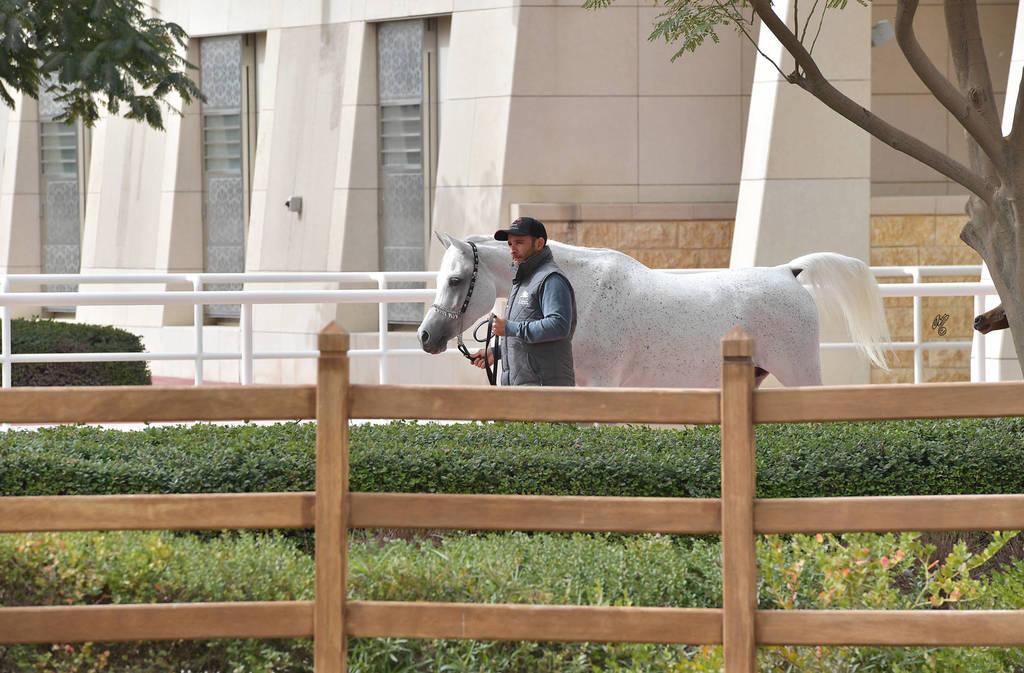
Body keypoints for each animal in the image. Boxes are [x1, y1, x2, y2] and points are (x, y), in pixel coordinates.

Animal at [417, 233, 891, 388]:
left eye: (455, 280)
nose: (425, 336)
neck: (583, 292)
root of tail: (789, 272)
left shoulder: (602, 384)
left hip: (800, 373)